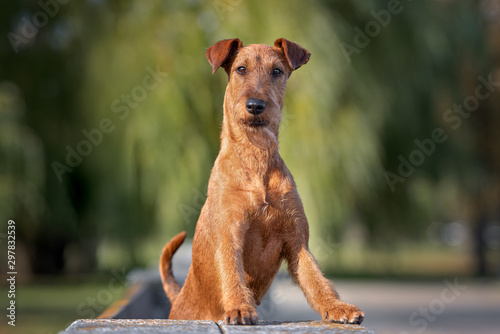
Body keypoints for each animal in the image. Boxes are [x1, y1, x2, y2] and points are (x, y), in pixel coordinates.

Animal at [162, 37, 366, 324]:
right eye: (241, 69)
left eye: (276, 71)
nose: (255, 105)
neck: (256, 154)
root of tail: (177, 298)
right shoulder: (230, 235)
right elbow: (232, 276)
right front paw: (239, 308)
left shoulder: (297, 242)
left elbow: (317, 281)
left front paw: (337, 306)